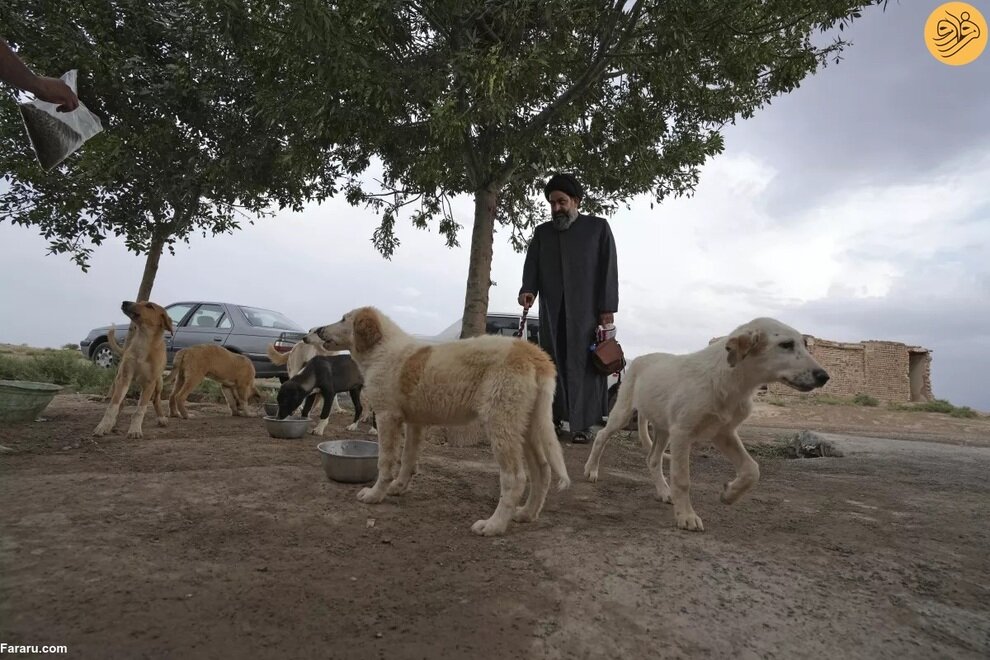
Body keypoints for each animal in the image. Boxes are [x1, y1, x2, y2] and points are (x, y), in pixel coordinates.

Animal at [92, 302, 173, 438]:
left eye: (149, 306)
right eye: (139, 302)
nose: (125, 302)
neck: (143, 341)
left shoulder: (149, 383)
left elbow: (140, 410)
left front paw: (135, 430)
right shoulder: (124, 377)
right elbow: (112, 406)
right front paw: (103, 426)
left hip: (158, 383)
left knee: (156, 400)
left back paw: (161, 418)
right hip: (119, 380)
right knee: (121, 403)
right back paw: (112, 424)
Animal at [310, 308, 572, 536]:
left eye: (344, 319)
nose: (319, 329)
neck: (381, 350)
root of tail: (534, 354)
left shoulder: (387, 416)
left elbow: (385, 462)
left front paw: (375, 495)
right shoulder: (415, 423)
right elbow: (407, 459)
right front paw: (398, 487)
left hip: (501, 423)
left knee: (515, 478)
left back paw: (493, 526)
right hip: (527, 426)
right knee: (542, 470)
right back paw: (526, 514)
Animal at [584, 318, 832, 532]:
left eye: (804, 344)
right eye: (786, 345)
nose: (824, 376)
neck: (732, 382)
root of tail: (640, 358)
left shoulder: (723, 433)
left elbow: (752, 469)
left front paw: (729, 494)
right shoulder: (683, 433)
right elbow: (682, 480)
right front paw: (686, 516)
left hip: (664, 428)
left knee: (653, 459)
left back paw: (664, 492)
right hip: (623, 413)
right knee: (602, 436)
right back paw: (591, 470)